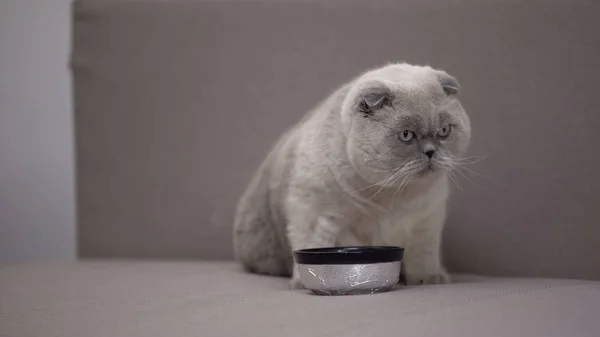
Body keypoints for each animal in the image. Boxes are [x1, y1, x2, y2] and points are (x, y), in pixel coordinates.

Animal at [232, 62, 472, 286]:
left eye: (444, 131)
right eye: (406, 135)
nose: (431, 152)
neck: (392, 195)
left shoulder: (427, 220)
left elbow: (423, 256)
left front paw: (429, 279)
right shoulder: (314, 213)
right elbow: (310, 245)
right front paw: (303, 282)